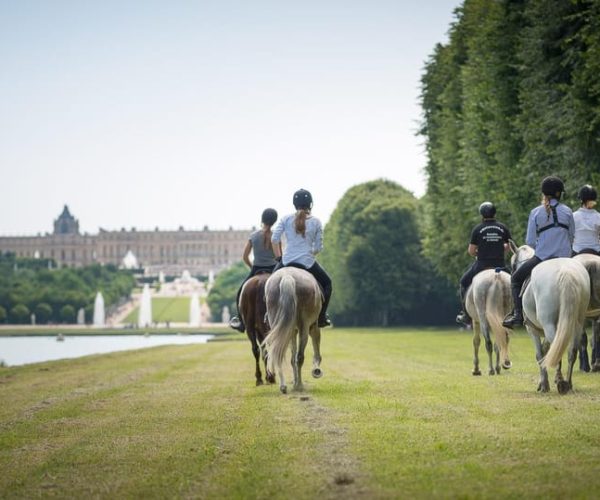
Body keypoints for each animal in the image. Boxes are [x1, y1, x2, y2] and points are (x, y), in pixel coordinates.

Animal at [510, 244, 592, 392]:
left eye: (513, 265)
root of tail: (566, 272)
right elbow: (546, 351)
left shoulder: (532, 330)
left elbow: (540, 354)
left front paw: (544, 384)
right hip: (577, 323)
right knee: (571, 351)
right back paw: (568, 383)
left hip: (548, 325)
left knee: (558, 348)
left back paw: (560, 382)